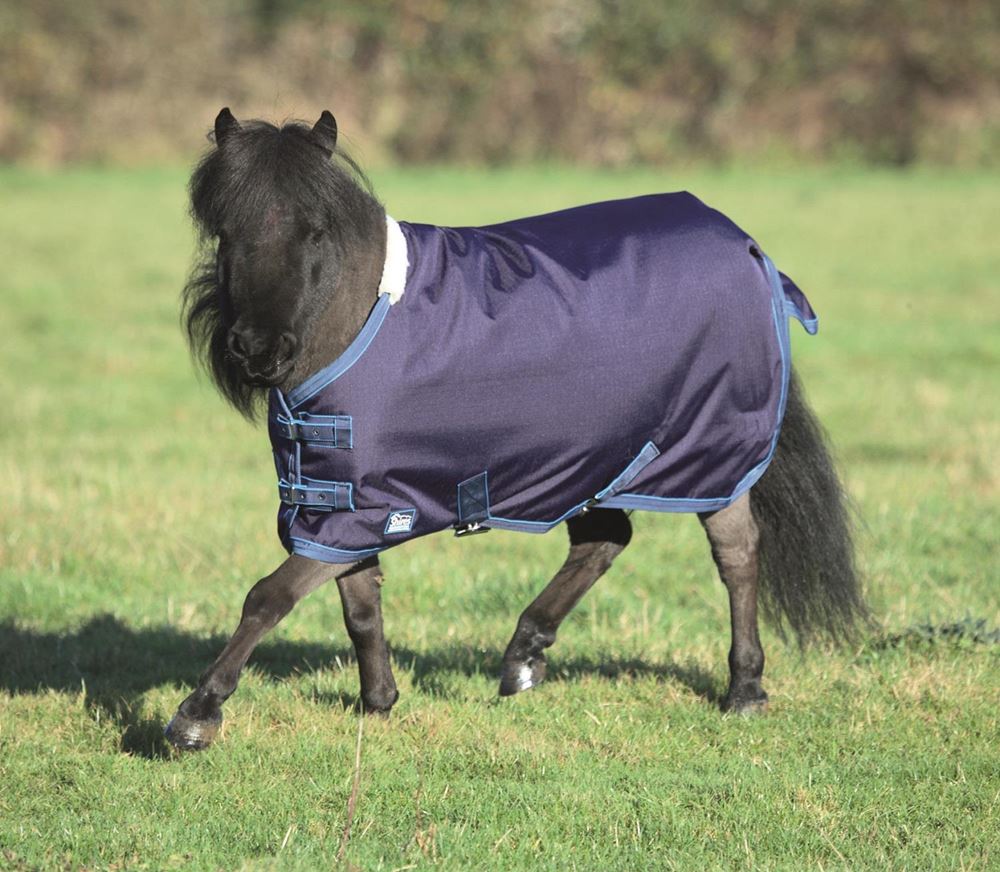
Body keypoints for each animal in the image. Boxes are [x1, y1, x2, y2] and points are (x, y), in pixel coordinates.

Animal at [164, 108, 868, 751]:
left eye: (314, 233)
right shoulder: (339, 500)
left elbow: (269, 597)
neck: (365, 315)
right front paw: (379, 702)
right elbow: (358, 603)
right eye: (225, 232)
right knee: (605, 540)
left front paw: (196, 714)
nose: (257, 349)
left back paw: (744, 688)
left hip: (710, 454)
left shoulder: (356, 507)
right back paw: (524, 656)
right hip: (599, 455)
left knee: (737, 554)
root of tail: (748, 247)